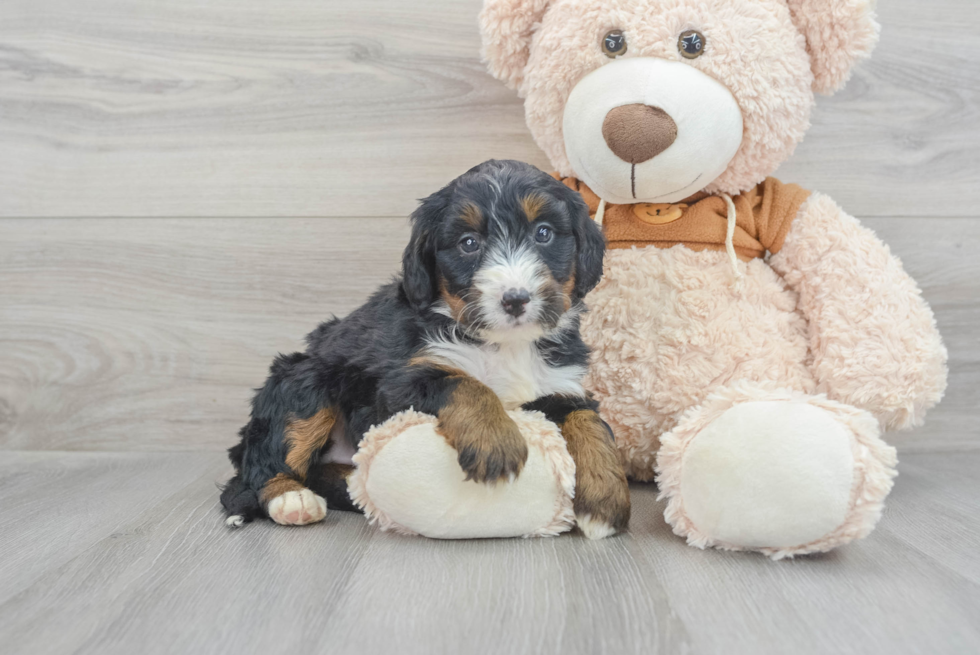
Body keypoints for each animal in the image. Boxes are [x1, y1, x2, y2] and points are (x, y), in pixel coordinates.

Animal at [221, 159, 632, 540]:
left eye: (543, 233)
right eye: (468, 243)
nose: (515, 299)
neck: (505, 343)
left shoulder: (560, 384)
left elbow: (590, 421)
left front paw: (606, 499)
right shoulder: (400, 381)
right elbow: (464, 383)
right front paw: (495, 441)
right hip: (304, 379)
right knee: (261, 464)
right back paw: (290, 498)